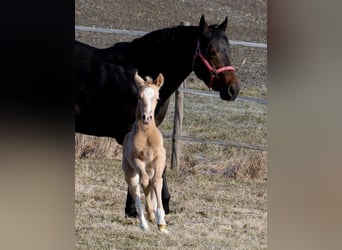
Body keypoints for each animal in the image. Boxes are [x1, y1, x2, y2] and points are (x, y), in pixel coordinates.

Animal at [122, 72, 168, 232]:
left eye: (157, 98)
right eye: (139, 97)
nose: (146, 118)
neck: (147, 134)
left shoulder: (159, 158)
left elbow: (157, 182)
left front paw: (161, 221)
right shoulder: (136, 160)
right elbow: (145, 183)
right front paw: (152, 215)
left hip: (151, 167)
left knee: (151, 183)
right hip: (130, 172)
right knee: (136, 190)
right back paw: (144, 222)